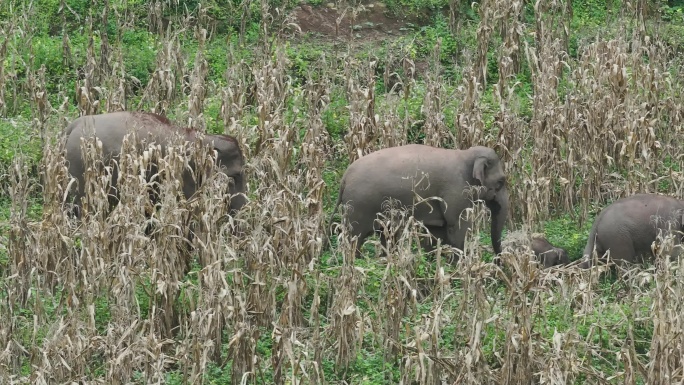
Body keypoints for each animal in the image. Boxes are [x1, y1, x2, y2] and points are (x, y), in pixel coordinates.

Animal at [328, 144, 510, 258]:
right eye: (501, 182)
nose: (499, 262)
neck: (465, 154)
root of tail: (344, 178)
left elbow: (437, 232)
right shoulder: (456, 191)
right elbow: (458, 228)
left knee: (385, 234)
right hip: (358, 206)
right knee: (354, 238)